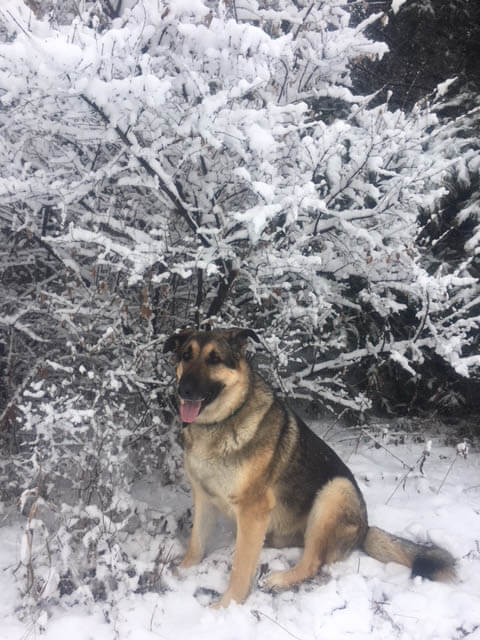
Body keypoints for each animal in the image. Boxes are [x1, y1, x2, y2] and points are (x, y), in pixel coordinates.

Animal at [163, 328, 456, 608]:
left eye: (214, 359)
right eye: (186, 356)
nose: (183, 390)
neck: (219, 423)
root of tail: (364, 529)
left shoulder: (253, 509)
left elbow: (240, 569)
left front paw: (225, 607)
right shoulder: (204, 497)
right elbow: (196, 544)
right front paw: (181, 572)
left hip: (333, 493)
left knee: (311, 563)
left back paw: (279, 579)